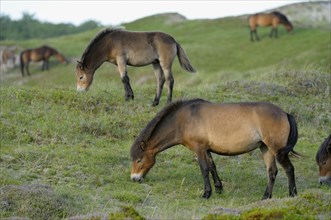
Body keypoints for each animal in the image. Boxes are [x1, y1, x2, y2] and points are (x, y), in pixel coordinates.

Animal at [131, 99, 300, 199]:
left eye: (139, 160)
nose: (134, 179)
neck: (184, 119)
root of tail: (285, 113)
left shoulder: (199, 148)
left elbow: (204, 169)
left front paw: (207, 193)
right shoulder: (207, 149)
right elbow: (212, 166)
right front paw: (218, 188)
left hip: (277, 150)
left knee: (289, 169)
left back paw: (292, 194)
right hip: (266, 148)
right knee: (272, 172)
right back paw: (266, 197)